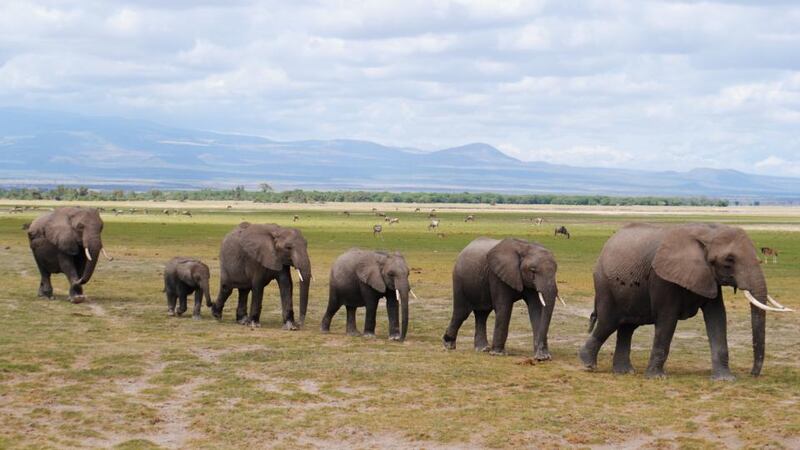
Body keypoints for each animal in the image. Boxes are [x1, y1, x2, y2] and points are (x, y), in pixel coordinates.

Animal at [578, 223, 792, 380]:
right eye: (729, 261)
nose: (753, 374)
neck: (708, 232)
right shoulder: (662, 278)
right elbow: (667, 320)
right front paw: (657, 378)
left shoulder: (708, 276)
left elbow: (717, 317)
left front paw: (725, 379)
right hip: (605, 284)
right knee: (608, 323)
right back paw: (588, 364)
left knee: (627, 327)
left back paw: (624, 372)